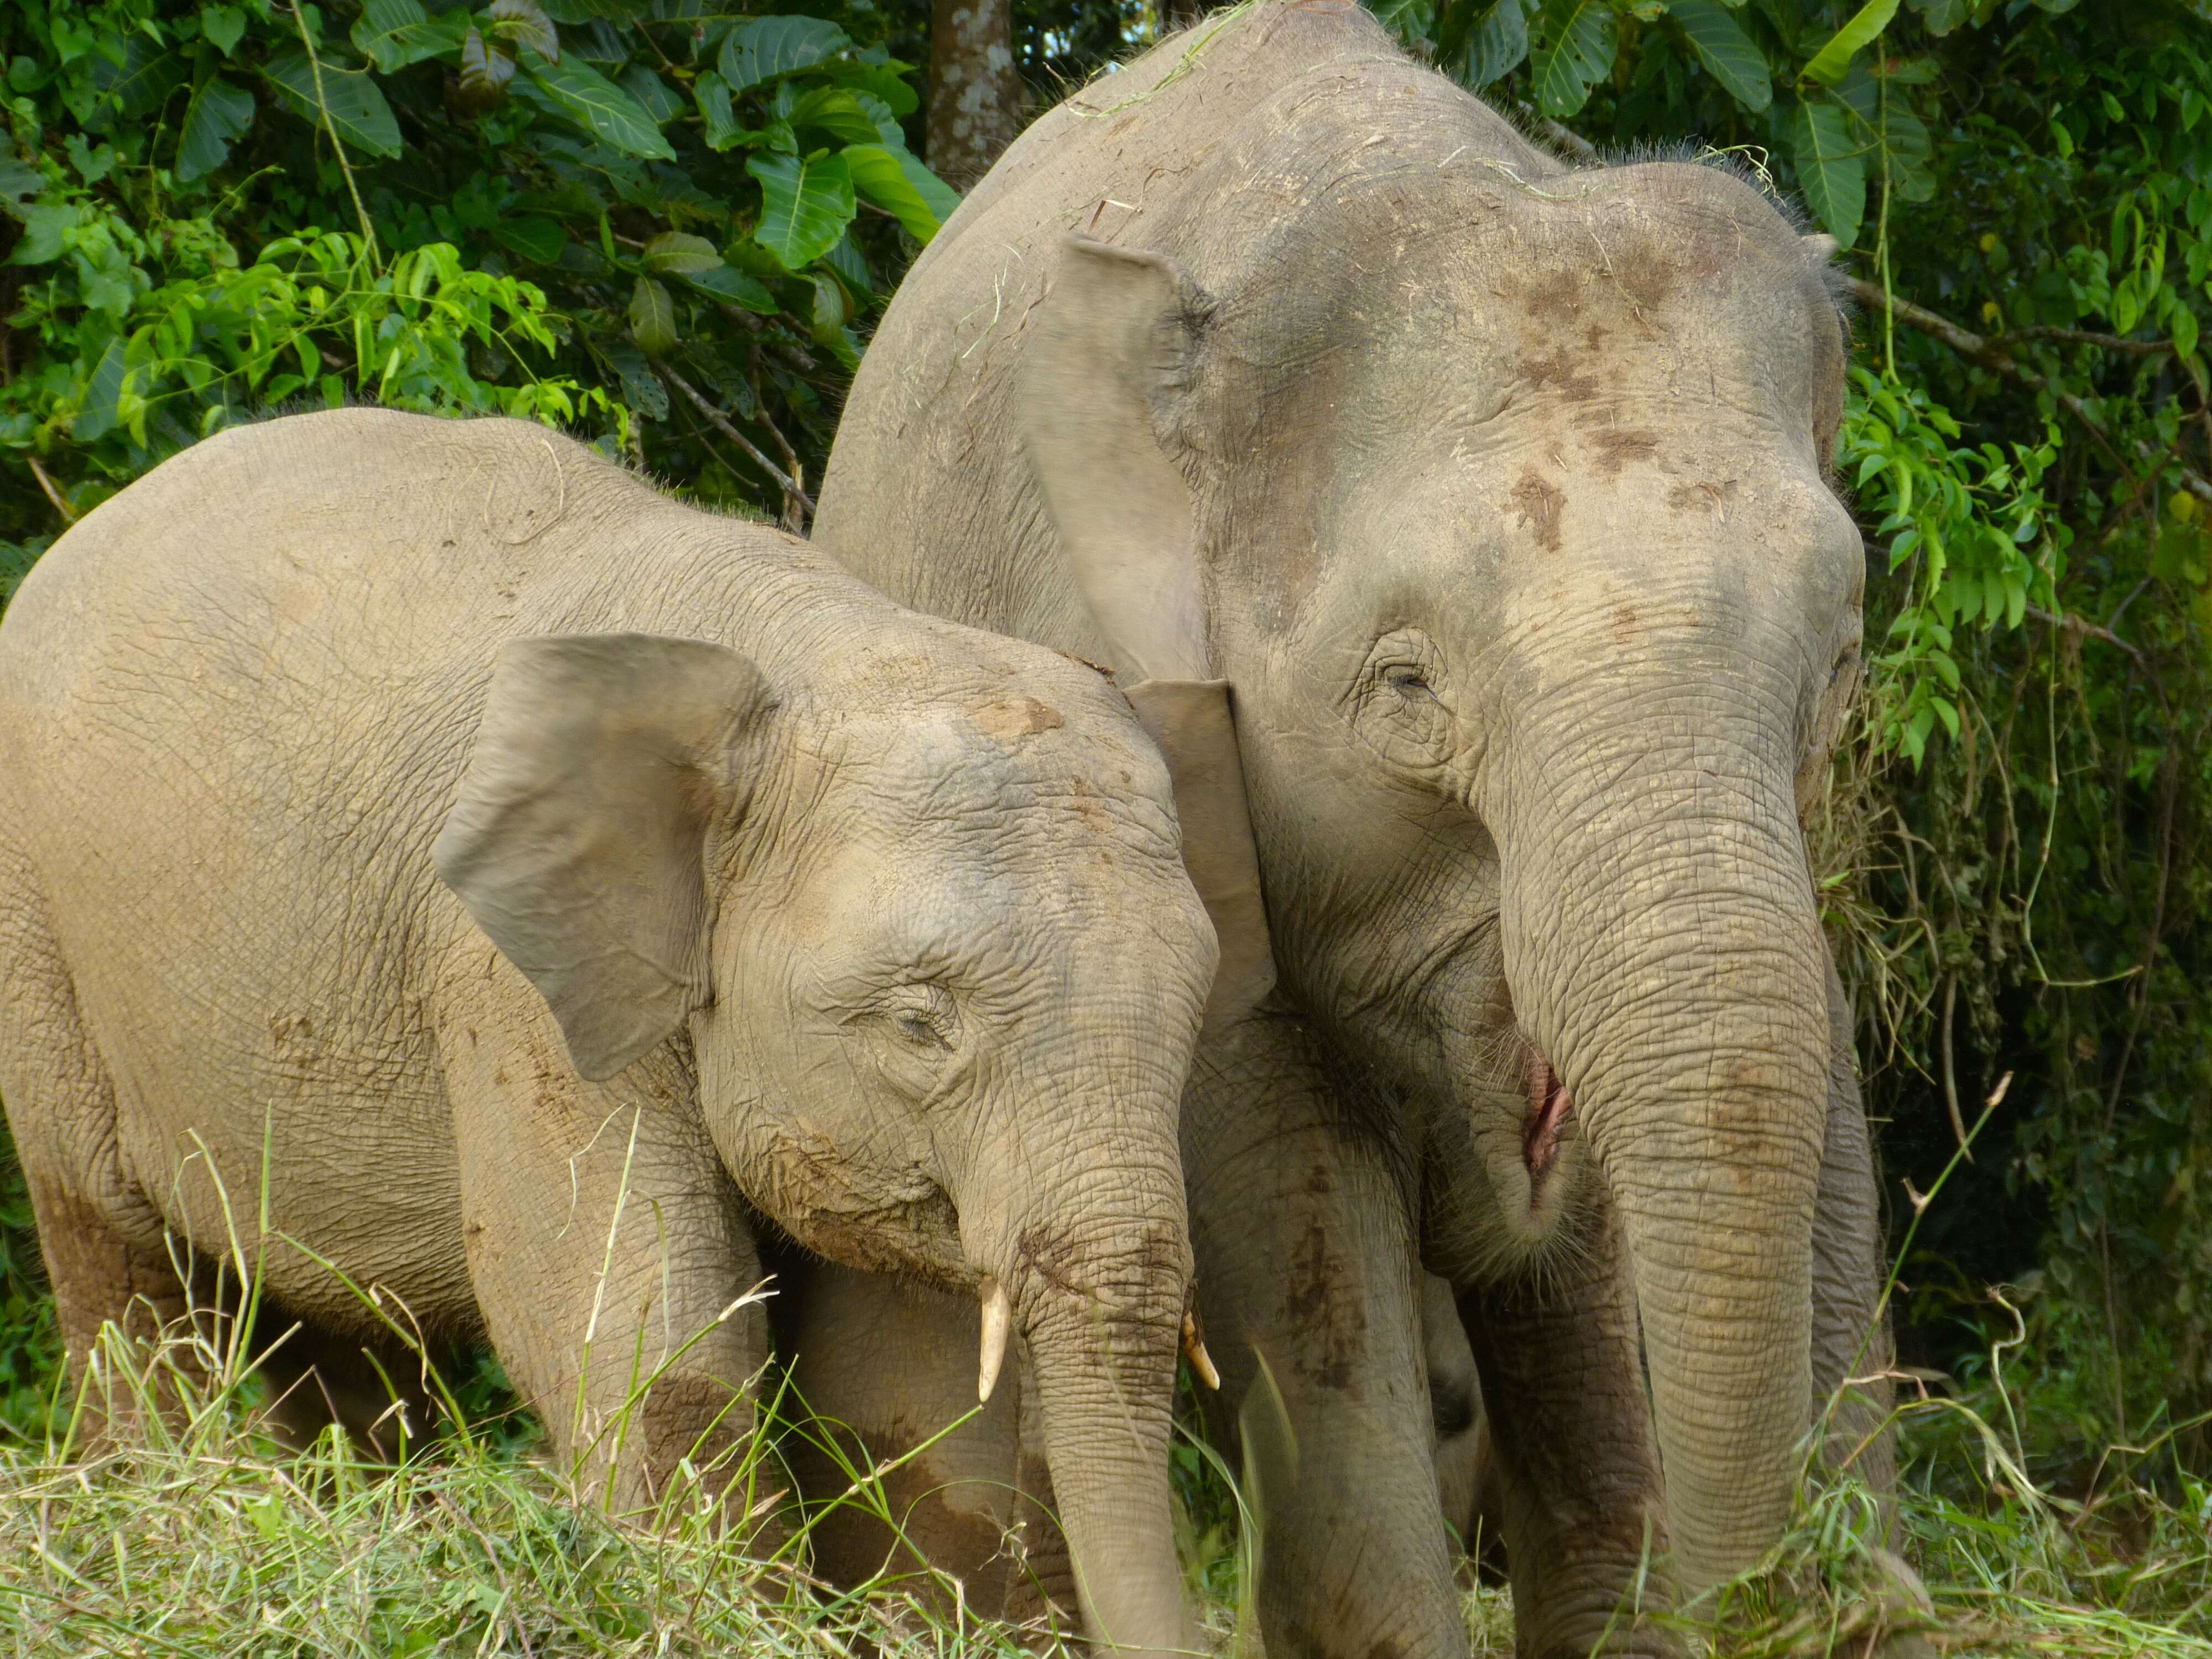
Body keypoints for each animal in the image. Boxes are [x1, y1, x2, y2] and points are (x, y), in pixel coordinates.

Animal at [0, 414, 1230, 1659]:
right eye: (920, 1023)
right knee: (120, 1258)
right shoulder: (505, 976)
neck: (798, 662)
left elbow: (908, 1357)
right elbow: (639, 1313)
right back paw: (168, 1519)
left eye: (1193, 1019)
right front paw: (718, 1618)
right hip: (38, 929)